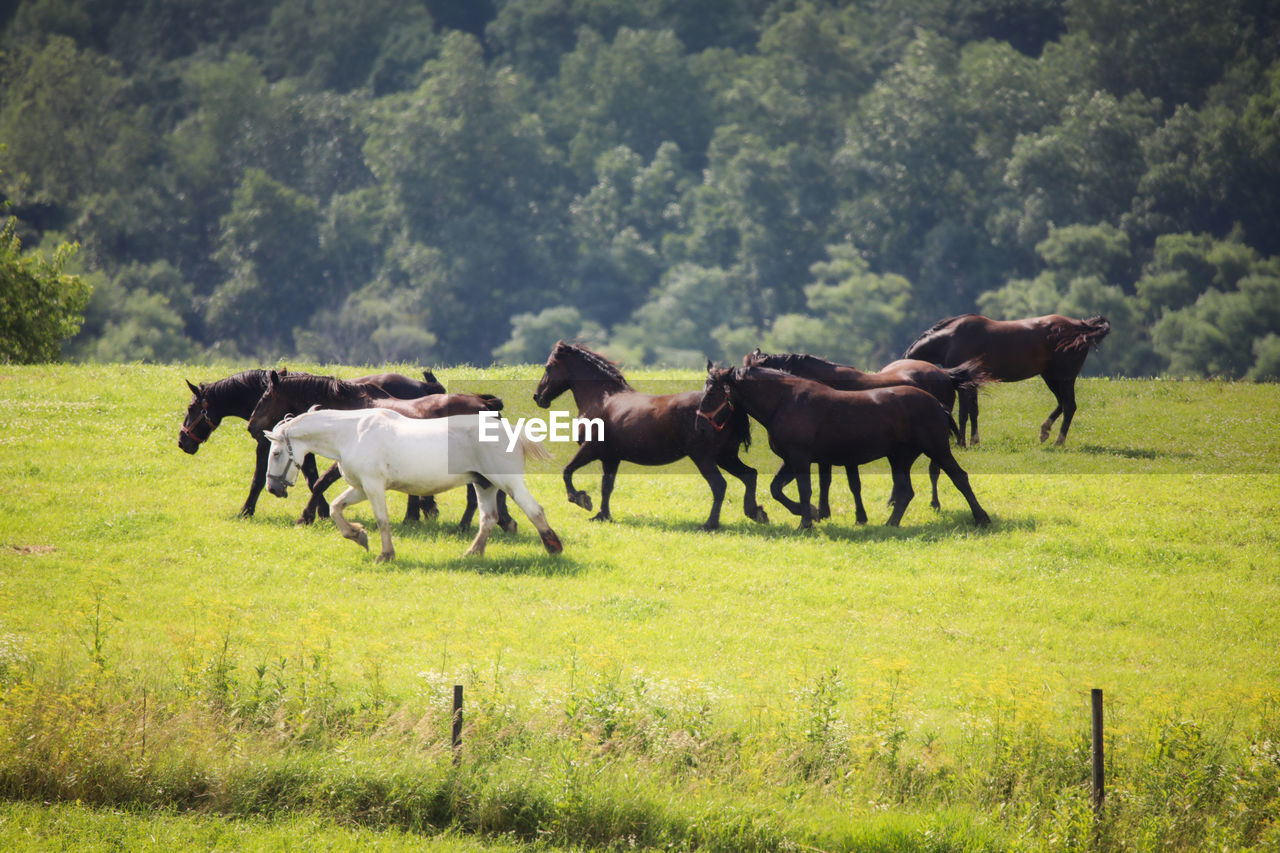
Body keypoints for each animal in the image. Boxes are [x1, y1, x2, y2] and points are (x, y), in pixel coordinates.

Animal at [177, 363, 442, 514]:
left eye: (191, 408)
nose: (182, 442)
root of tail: (425, 386)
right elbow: (312, 478)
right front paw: (320, 512)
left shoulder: (268, 446)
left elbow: (260, 480)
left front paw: (246, 511)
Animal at [262, 404, 563, 558]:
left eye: (276, 453)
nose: (273, 488)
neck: (352, 433)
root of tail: (513, 431)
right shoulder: (360, 488)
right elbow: (337, 508)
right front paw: (358, 535)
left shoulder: (373, 486)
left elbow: (382, 520)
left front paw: (385, 554)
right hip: (484, 484)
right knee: (488, 519)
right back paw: (472, 553)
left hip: (508, 483)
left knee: (535, 511)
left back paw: (554, 547)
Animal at [532, 340, 768, 527]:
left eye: (548, 366)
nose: (538, 397)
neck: (602, 399)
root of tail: (730, 407)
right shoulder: (611, 457)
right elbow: (606, 486)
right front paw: (602, 515)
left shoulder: (590, 449)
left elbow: (567, 471)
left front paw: (581, 499)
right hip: (725, 456)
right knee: (749, 475)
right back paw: (755, 512)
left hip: (704, 457)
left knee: (719, 485)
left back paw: (710, 524)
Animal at [701, 361, 988, 527]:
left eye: (714, 390)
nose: (701, 420)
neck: (786, 401)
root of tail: (937, 405)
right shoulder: (791, 459)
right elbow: (776, 489)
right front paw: (810, 513)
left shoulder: (800, 458)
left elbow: (804, 490)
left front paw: (806, 522)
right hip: (900, 458)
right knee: (906, 491)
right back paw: (890, 524)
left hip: (937, 449)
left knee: (959, 478)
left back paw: (981, 517)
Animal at [901, 312, 1111, 445]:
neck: (951, 339)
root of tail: (1081, 327)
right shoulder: (972, 384)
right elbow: (973, 412)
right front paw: (974, 441)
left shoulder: (964, 386)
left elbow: (963, 414)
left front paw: (961, 443)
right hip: (1051, 378)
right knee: (1062, 404)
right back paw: (1045, 431)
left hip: (1064, 378)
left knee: (1069, 406)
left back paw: (1059, 442)